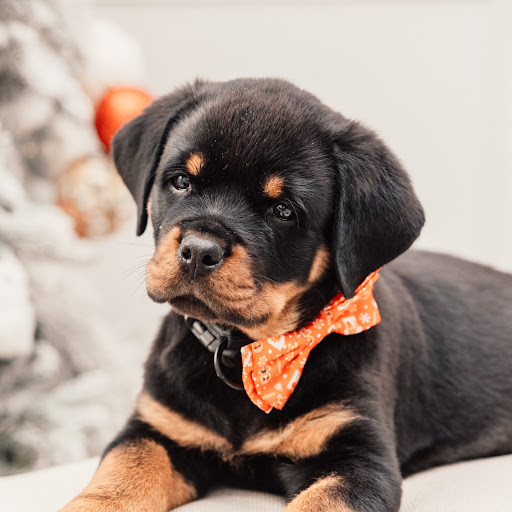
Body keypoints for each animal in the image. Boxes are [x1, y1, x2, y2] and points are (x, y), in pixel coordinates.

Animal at [62, 78, 512, 510]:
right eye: (181, 182)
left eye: (283, 211)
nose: (198, 251)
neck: (243, 351)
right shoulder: (158, 429)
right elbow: (120, 478)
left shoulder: (358, 457)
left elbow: (319, 503)